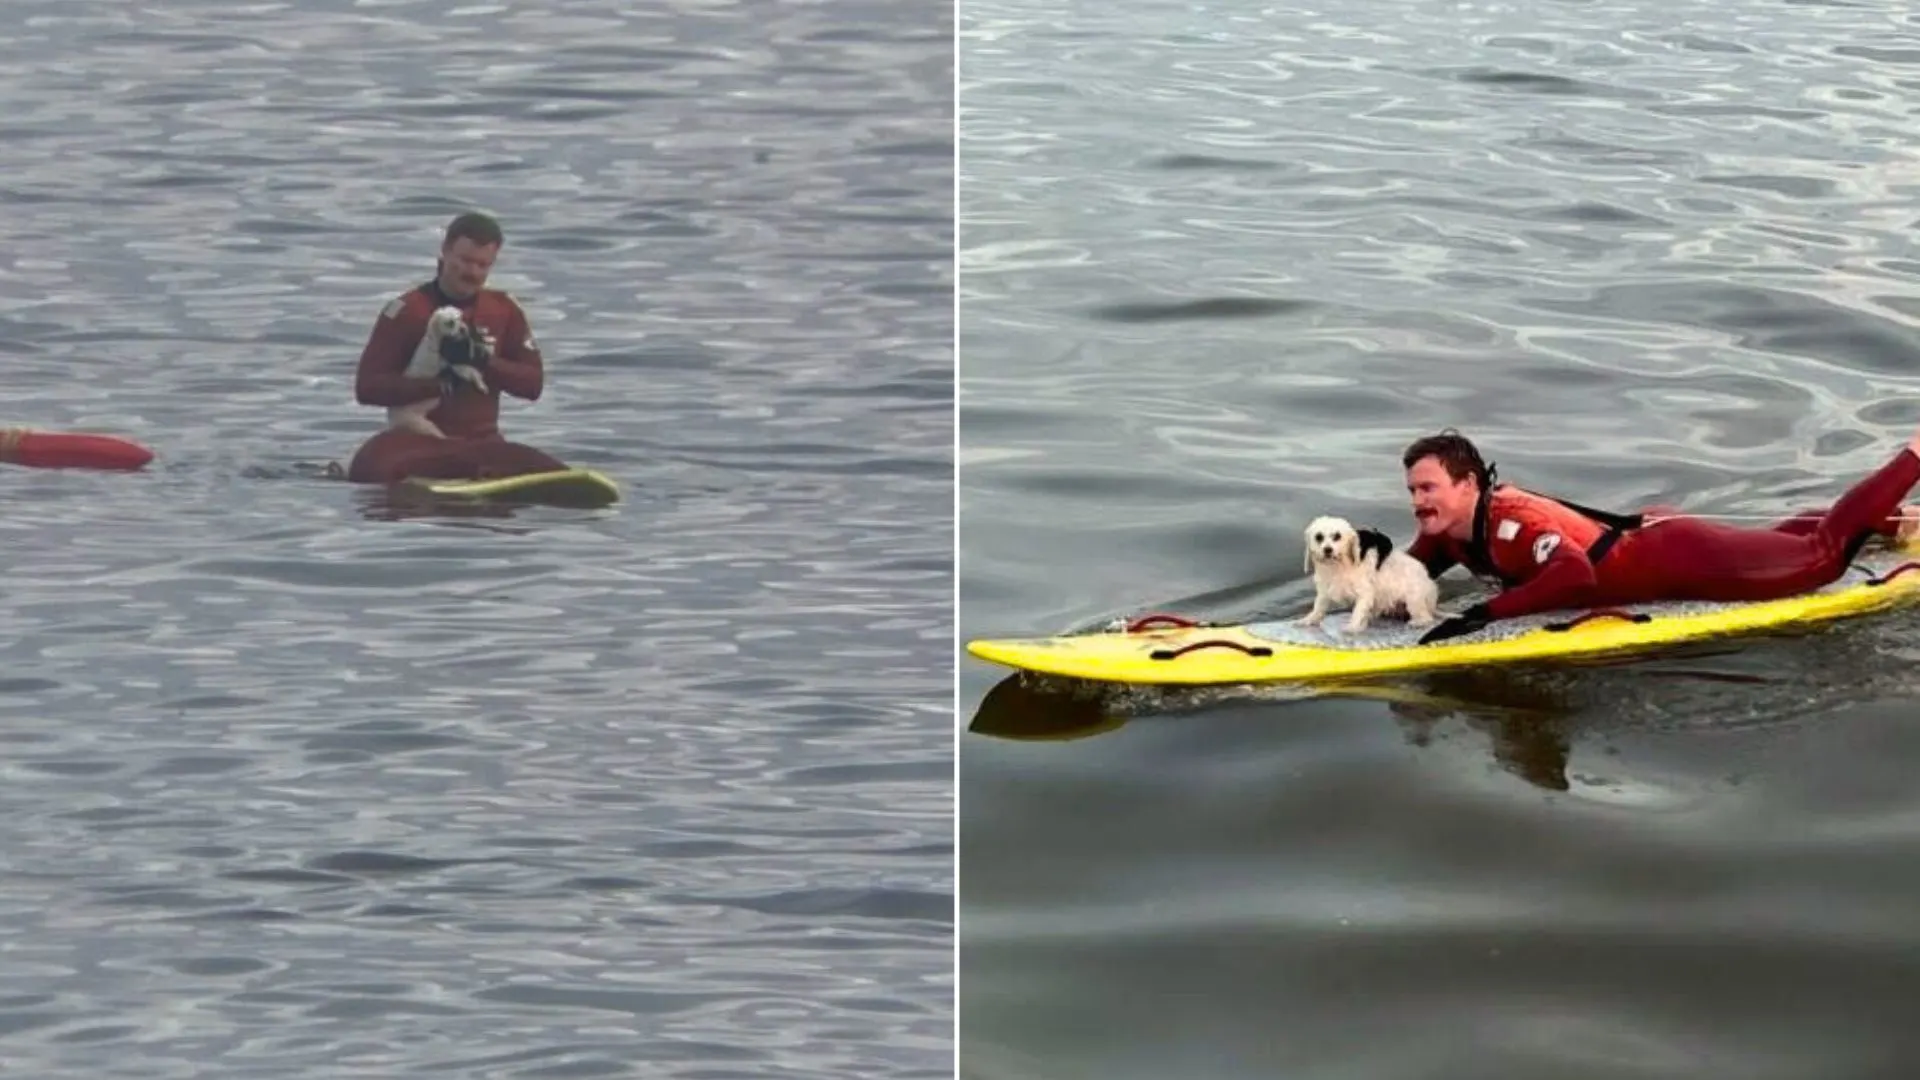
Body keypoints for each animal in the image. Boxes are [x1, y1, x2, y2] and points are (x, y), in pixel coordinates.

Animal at [385, 303, 491, 438]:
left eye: (461, 318)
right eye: (450, 323)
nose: (463, 329)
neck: (436, 340)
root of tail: (392, 419)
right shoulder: (455, 366)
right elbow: (473, 372)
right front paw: (482, 385)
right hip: (422, 425)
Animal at [1290, 511, 1443, 630]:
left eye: (1337, 536)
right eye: (1319, 537)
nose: (1328, 549)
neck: (1339, 566)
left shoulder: (1365, 593)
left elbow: (1357, 612)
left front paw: (1352, 627)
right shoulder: (1325, 590)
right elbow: (1318, 607)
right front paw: (1308, 619)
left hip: (1413, 600)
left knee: (1427, 618)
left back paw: (1418, 622)